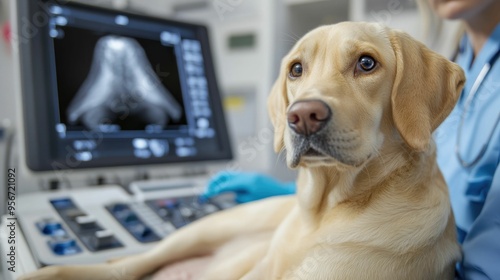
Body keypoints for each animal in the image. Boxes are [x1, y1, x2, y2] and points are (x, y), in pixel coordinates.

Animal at [19, 21, 464, 280]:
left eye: (367, 63)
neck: (323, 214)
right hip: (207, 227)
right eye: (296, 69)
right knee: (121, 267)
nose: (302, 116)